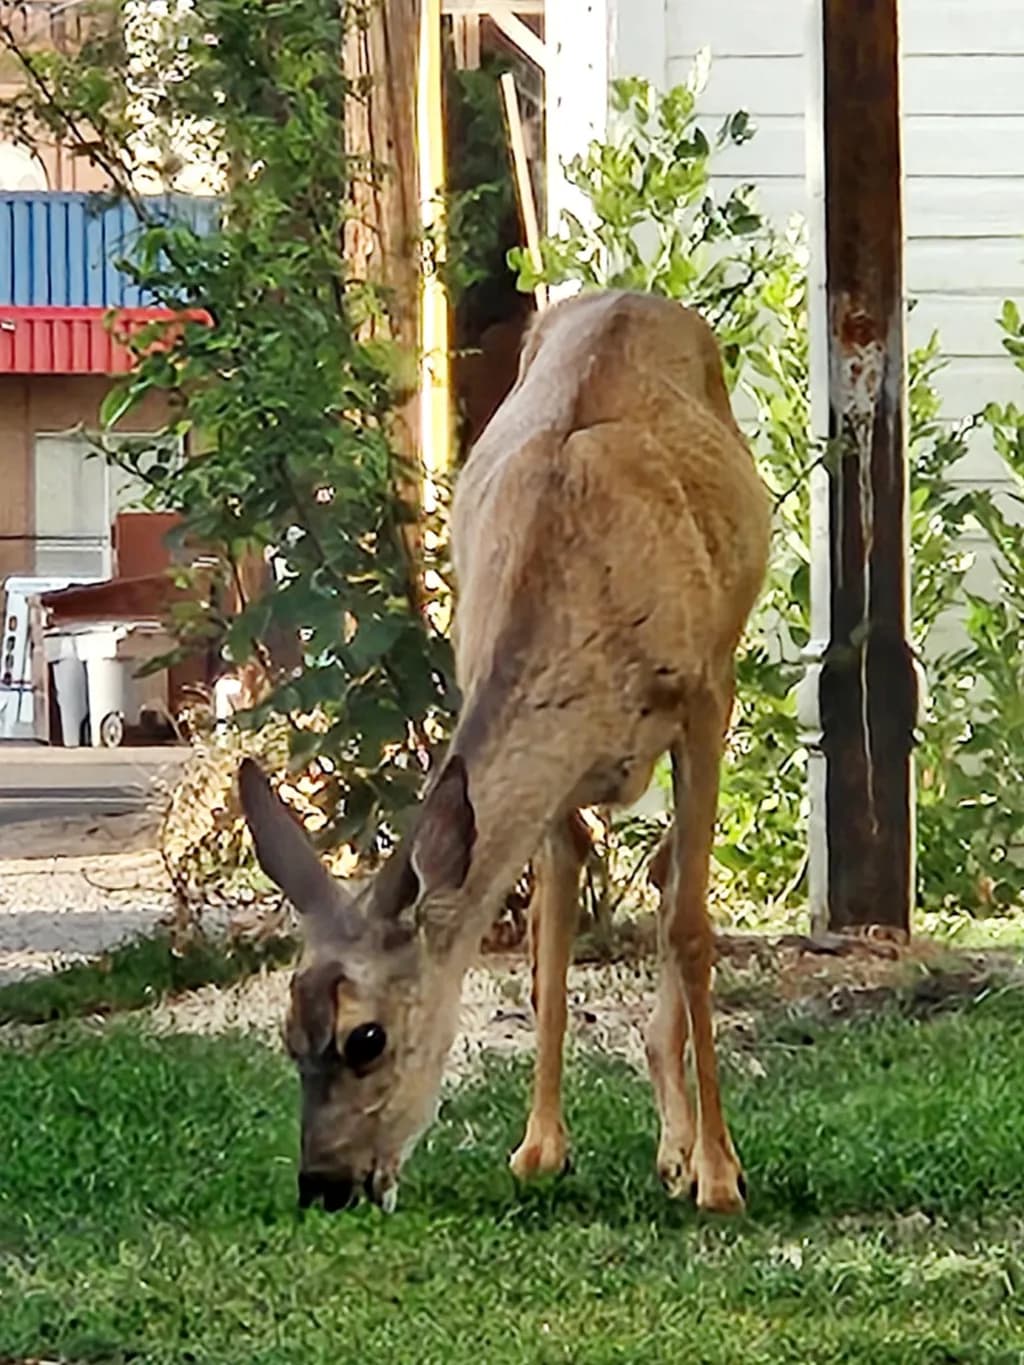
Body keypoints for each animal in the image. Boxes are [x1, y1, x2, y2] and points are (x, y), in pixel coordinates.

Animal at [238, 288, 771, 1216]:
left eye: (366, 1037)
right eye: (286, 1030)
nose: (324, 1184)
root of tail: (632, 295)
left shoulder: (705, 696)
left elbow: (692, 930)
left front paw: (719, 1171)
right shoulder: (541, 752)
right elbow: (550, 932)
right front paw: (540, 1148)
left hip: (729, 649)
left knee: (675, 882)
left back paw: (686, 1150)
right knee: (631, 864)